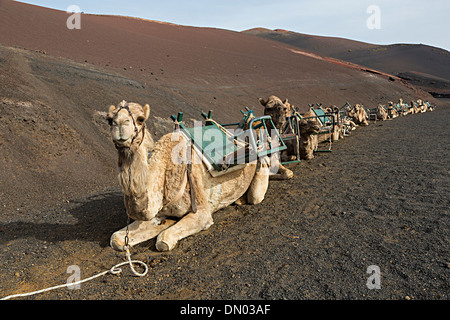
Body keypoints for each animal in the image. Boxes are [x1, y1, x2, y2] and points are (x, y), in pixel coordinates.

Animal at [107, 101, 290, 251]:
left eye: (140, 119)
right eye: (109, 119)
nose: (120, 125)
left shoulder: (201, 210)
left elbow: (163, 241)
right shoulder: (158, 210)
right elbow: (115, 238)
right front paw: (165, 223)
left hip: (261, 165)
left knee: (256, 195)